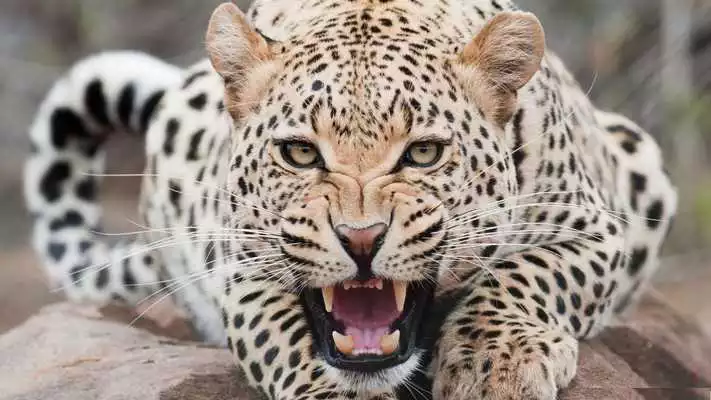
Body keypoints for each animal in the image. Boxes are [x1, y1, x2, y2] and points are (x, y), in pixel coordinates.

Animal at [24, 0, 678, 399]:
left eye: (423, 153)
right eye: (300, 154)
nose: (361, 239)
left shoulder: (595, 225)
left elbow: (530, 274)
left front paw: (497, 364)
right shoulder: (241, 265)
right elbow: (286, 341)